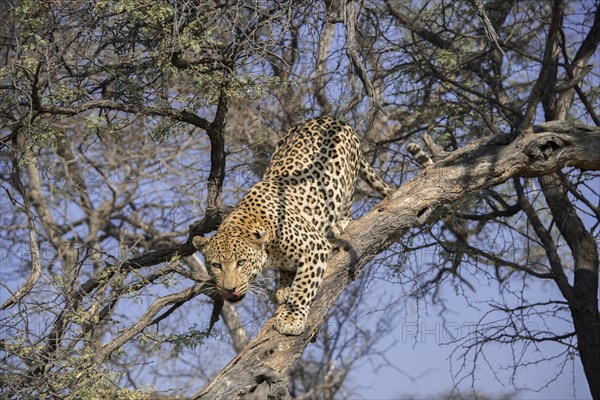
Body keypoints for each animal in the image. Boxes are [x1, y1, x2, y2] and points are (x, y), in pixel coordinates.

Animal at [192, 117, 432, 336]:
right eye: (216, 265)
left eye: (241, 262)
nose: (229, 289)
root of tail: (333, 118)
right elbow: (288, 272)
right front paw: (284, 287)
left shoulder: (314, 247)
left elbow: (303, 287)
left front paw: (291, 318)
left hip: (344, 180)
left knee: (348, 205)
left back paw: (340, 224)